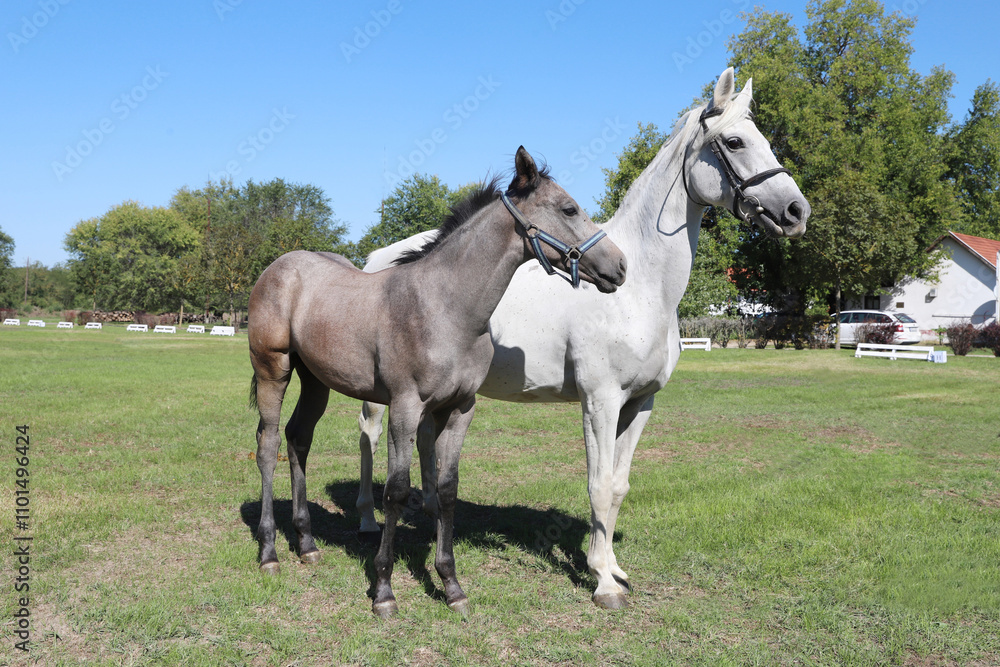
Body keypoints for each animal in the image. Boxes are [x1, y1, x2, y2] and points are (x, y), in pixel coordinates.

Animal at [247, 146, 627, 618]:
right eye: (569, 208)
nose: (620, 266)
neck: (445, 309)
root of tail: (279, 267)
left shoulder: (459, 408)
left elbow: (446, 490)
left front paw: (451, 586)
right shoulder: (405, 407)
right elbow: (396, 491)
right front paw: (384, 590)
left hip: (316, 381)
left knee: (299, 439)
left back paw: (307, 544)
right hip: (273, 371)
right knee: (268, 446)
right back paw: (269, 553)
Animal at [356, 68, 810, 610]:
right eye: (736, 141)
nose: (796, 211)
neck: (642, 289)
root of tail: (378, 259)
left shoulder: (640, 403)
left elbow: (618, 487)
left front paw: (613, 568)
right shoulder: (600, 402)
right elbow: (597, 485)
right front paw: (601, 583)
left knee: (425, 440)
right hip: (384, 396)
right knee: (368, 437)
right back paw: (366, 521)